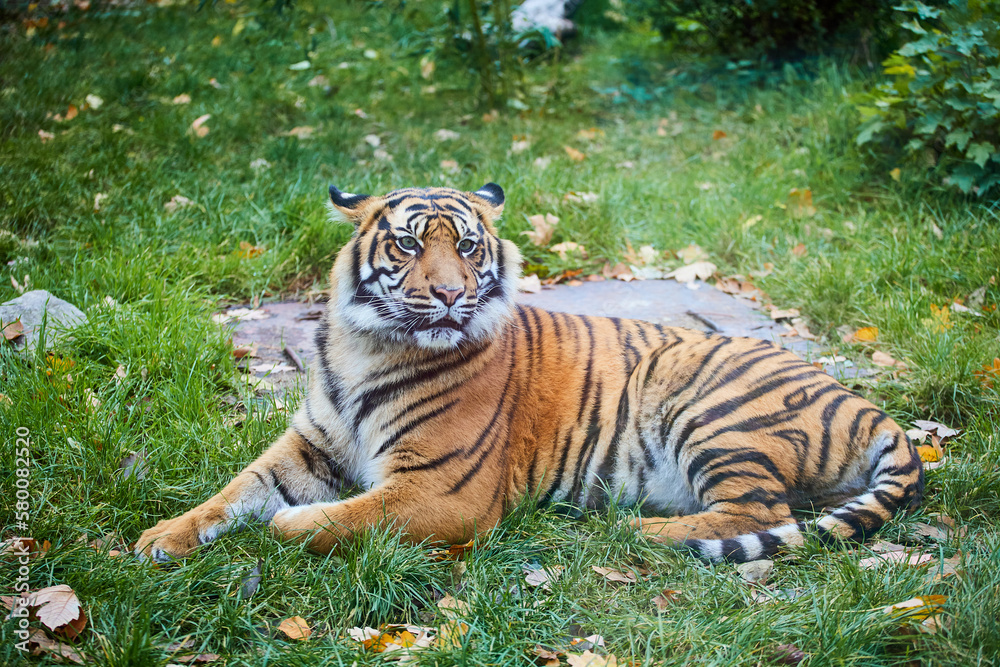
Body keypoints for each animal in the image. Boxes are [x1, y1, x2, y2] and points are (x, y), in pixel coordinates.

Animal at [136, 183, 923, 564]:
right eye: (410, 244)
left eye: (468, 246)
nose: (449, 294)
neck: (370, 345)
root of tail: (867, 405)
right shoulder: (309, 446)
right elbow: (233, 491)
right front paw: (161, 538)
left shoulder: (442, 490)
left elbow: (338, 517)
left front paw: (292, 523)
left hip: (705, 403)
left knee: (764, 512)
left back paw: (634, 532)